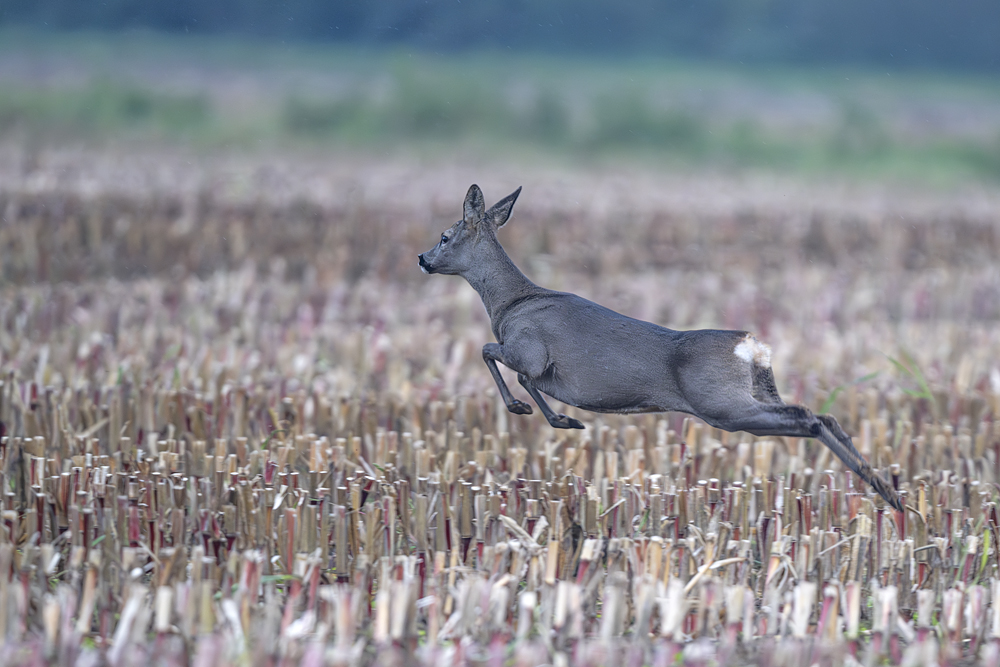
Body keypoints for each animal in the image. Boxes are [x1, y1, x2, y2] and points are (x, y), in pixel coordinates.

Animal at [418, 184, 904, 512]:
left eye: (444, 235)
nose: (422, 258)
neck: (509, 303)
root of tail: (752, 346)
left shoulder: (530, 349)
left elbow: (495, 356)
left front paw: (548, 416)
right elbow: (508, 367)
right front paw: (557, 418)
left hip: (722, 405)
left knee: (809, 417)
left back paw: (885, 492)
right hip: (755, 393)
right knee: (824, 416)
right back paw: (889, 492)